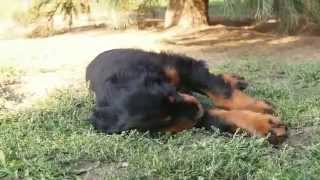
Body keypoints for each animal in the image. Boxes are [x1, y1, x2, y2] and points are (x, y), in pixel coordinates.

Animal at [85, 48, 288, 144]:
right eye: (166, 122)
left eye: (171, 95)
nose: (197, 111)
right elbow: (215, 116)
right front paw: (265, 125)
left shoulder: (180, 67)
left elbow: (219, 91)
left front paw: (258, 107)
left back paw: (235, 79)